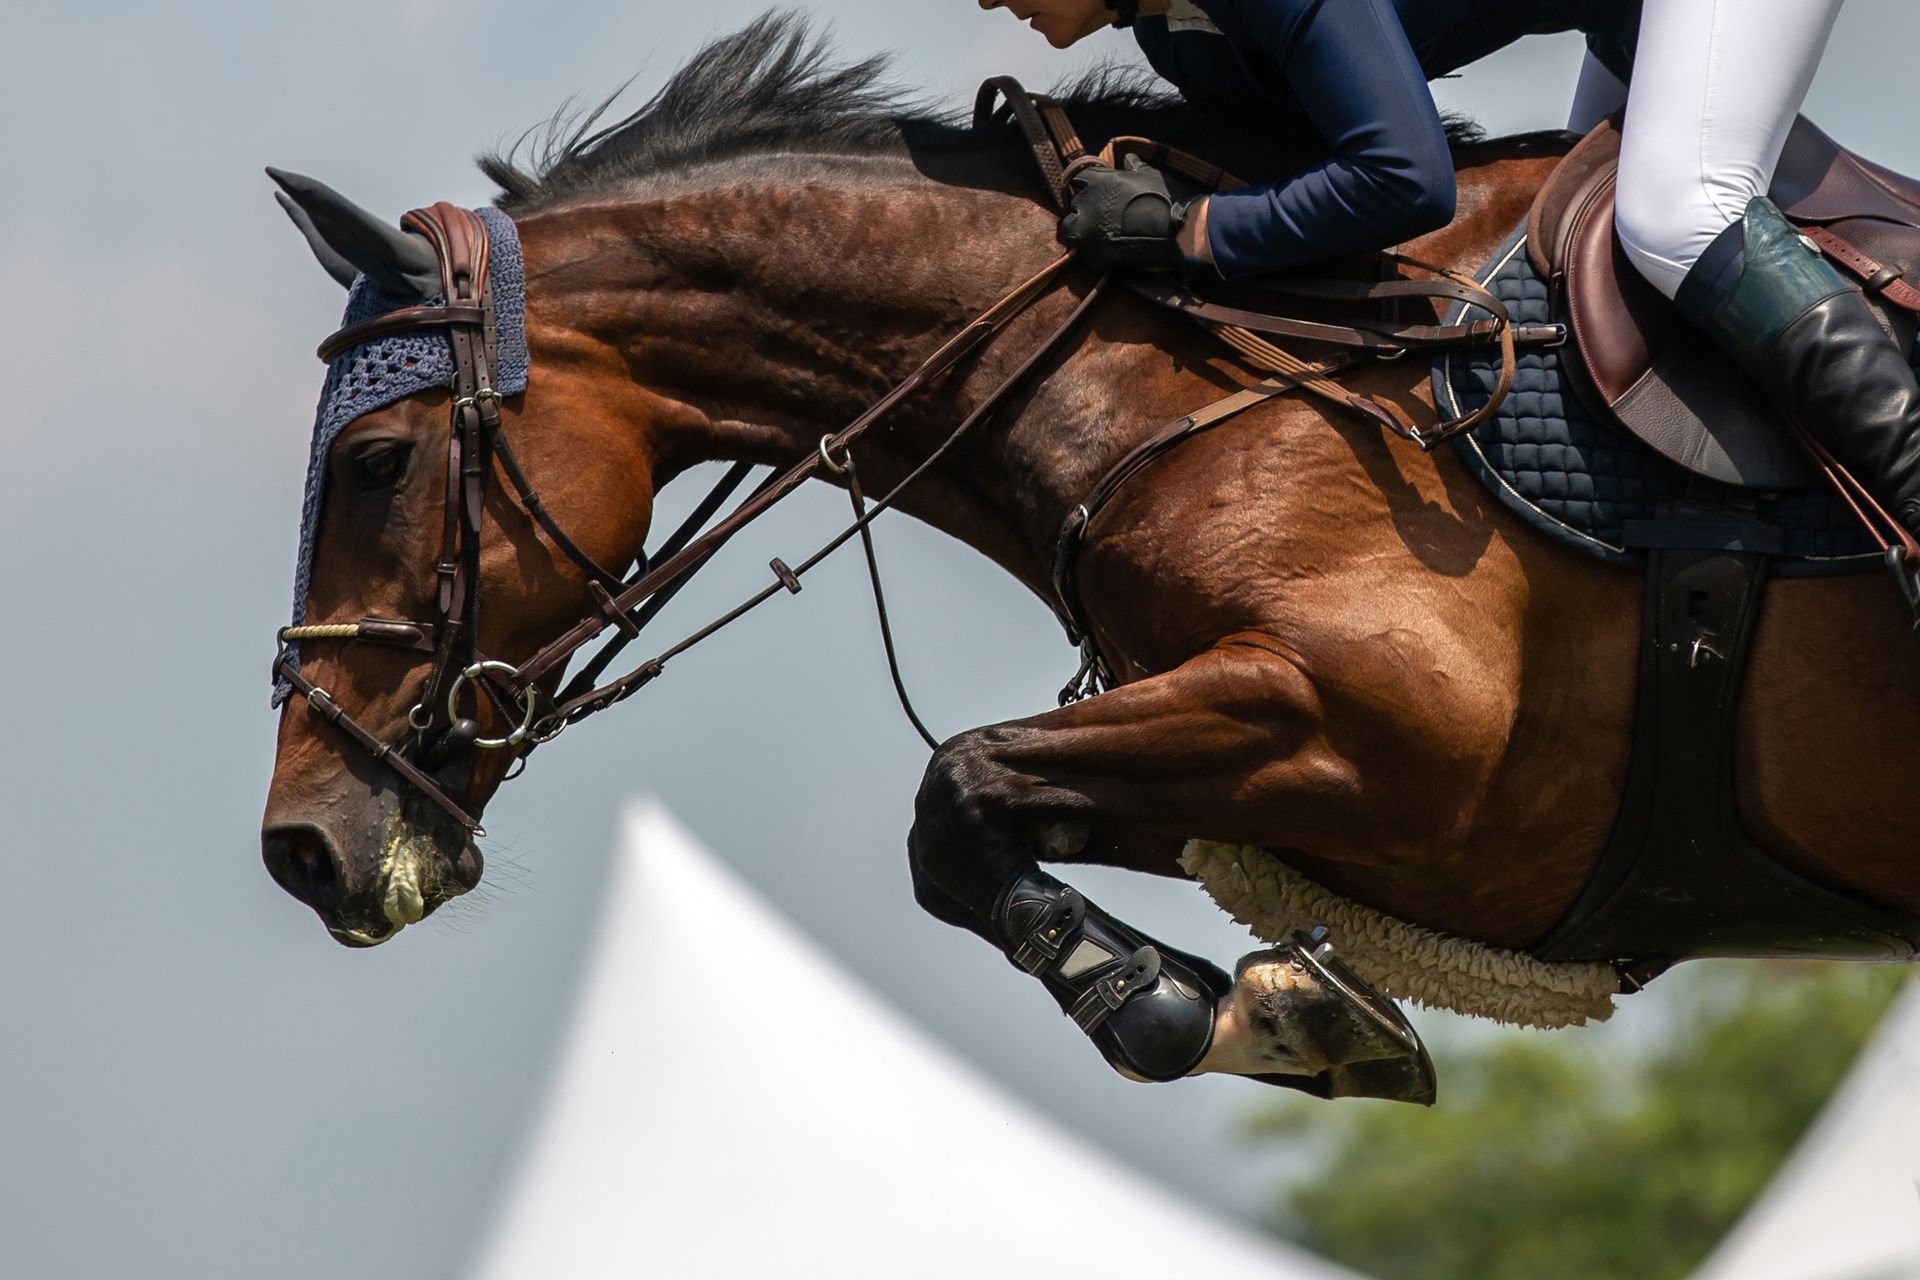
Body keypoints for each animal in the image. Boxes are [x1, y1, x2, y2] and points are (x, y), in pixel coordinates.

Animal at [260, 16, 1920, 1097]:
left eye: (378, 463)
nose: (301, 847)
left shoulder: (1402, 739)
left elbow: (960, 787)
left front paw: (1178, 1008)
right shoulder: (1301, 786)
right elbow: (977, 816)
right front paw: (1255, 1008)